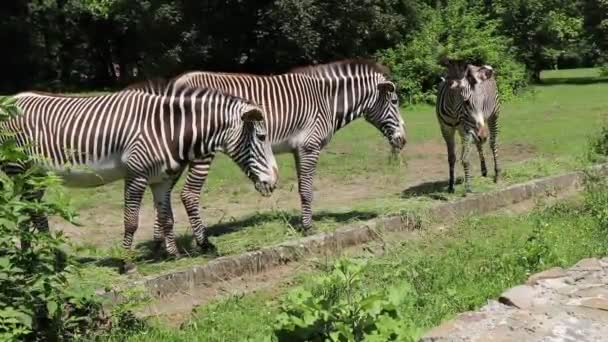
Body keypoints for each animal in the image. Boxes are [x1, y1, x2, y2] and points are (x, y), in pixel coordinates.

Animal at [1, 81, 278, 256]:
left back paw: (42, 255)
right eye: (262, 137)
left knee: (29, 211)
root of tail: (11, 99)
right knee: (26, 212)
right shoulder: (136, 174)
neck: (167, 128)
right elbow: (131, 220)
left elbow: (167, 217)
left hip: (36, 175)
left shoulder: (160, 179)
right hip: (19, 170)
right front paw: (126, 261)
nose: (274, 181)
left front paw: (172, 253)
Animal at [162, 58, 406, 240]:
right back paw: (201, 243)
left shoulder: (299, 150)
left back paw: (165, 248)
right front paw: (308, 228)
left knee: (162, 196)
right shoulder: (310, 147)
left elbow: (302, 189)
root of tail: (178, 80)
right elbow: (307, 190)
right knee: (188, 195)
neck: (327, 100)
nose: (403, 141)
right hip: (201, 153)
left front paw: (304, 223)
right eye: (394, 101)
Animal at [434, 59, 502, 194]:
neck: (454, 111)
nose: (483, 135)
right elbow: (452, 157)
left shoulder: (466, 128)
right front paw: (451, 185)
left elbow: (465, 159)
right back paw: (484, 170)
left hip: (493, 116)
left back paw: (496, 174)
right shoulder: (446, 129)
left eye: (482, 102)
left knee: (493, 143)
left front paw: (468, 187)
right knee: (479, 143)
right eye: (466, 102)